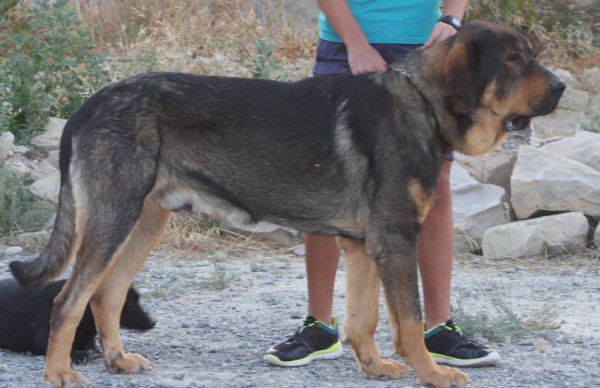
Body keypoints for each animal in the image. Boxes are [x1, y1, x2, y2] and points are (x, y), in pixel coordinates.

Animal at [9, 22, 564, 388]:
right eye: (513, 59)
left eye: (528, 54)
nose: (561, 86)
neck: (422, 102)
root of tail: (87, 106)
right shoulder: (396, 240)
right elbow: (408, 321)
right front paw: (431, 373)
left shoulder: (364, 246)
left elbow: (363, 320)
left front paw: (374, 366)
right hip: (113, 219)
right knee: (68, 299)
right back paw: (59, 372)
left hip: (144, 222)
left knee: (106, 295)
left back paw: (119, 361)